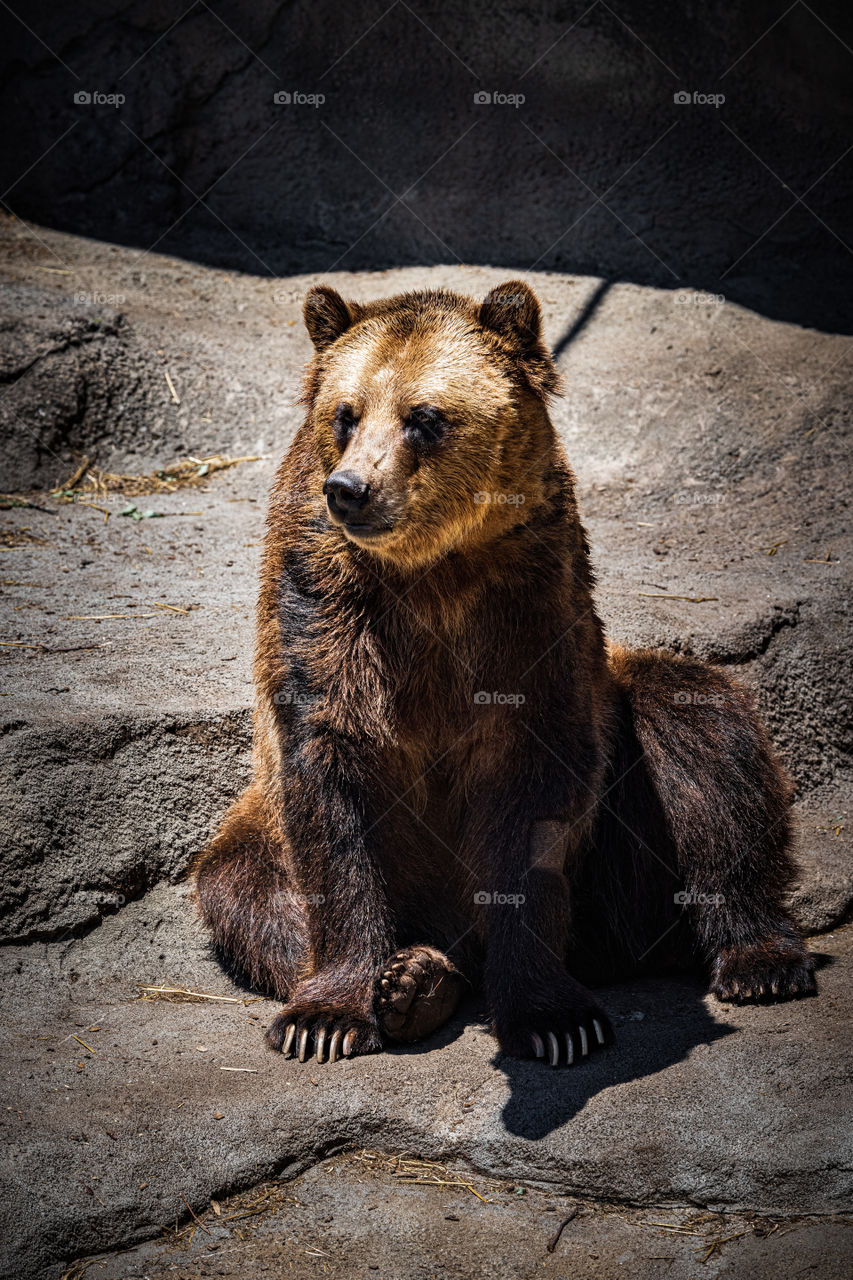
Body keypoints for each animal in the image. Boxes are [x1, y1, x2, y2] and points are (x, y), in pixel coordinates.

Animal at [192, 280, 809, 1070]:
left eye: (424, 417)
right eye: (344, 412)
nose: (350, 489)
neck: (431, 572)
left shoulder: (529, 609)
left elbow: (531, 802)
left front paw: (554, 1020)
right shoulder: (325, 612)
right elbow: (328, 798)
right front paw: (324, 1018)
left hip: (619, 826)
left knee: (700, 738)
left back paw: (759, 959)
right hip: (255, 827)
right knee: (241, 887)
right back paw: (420, 979)